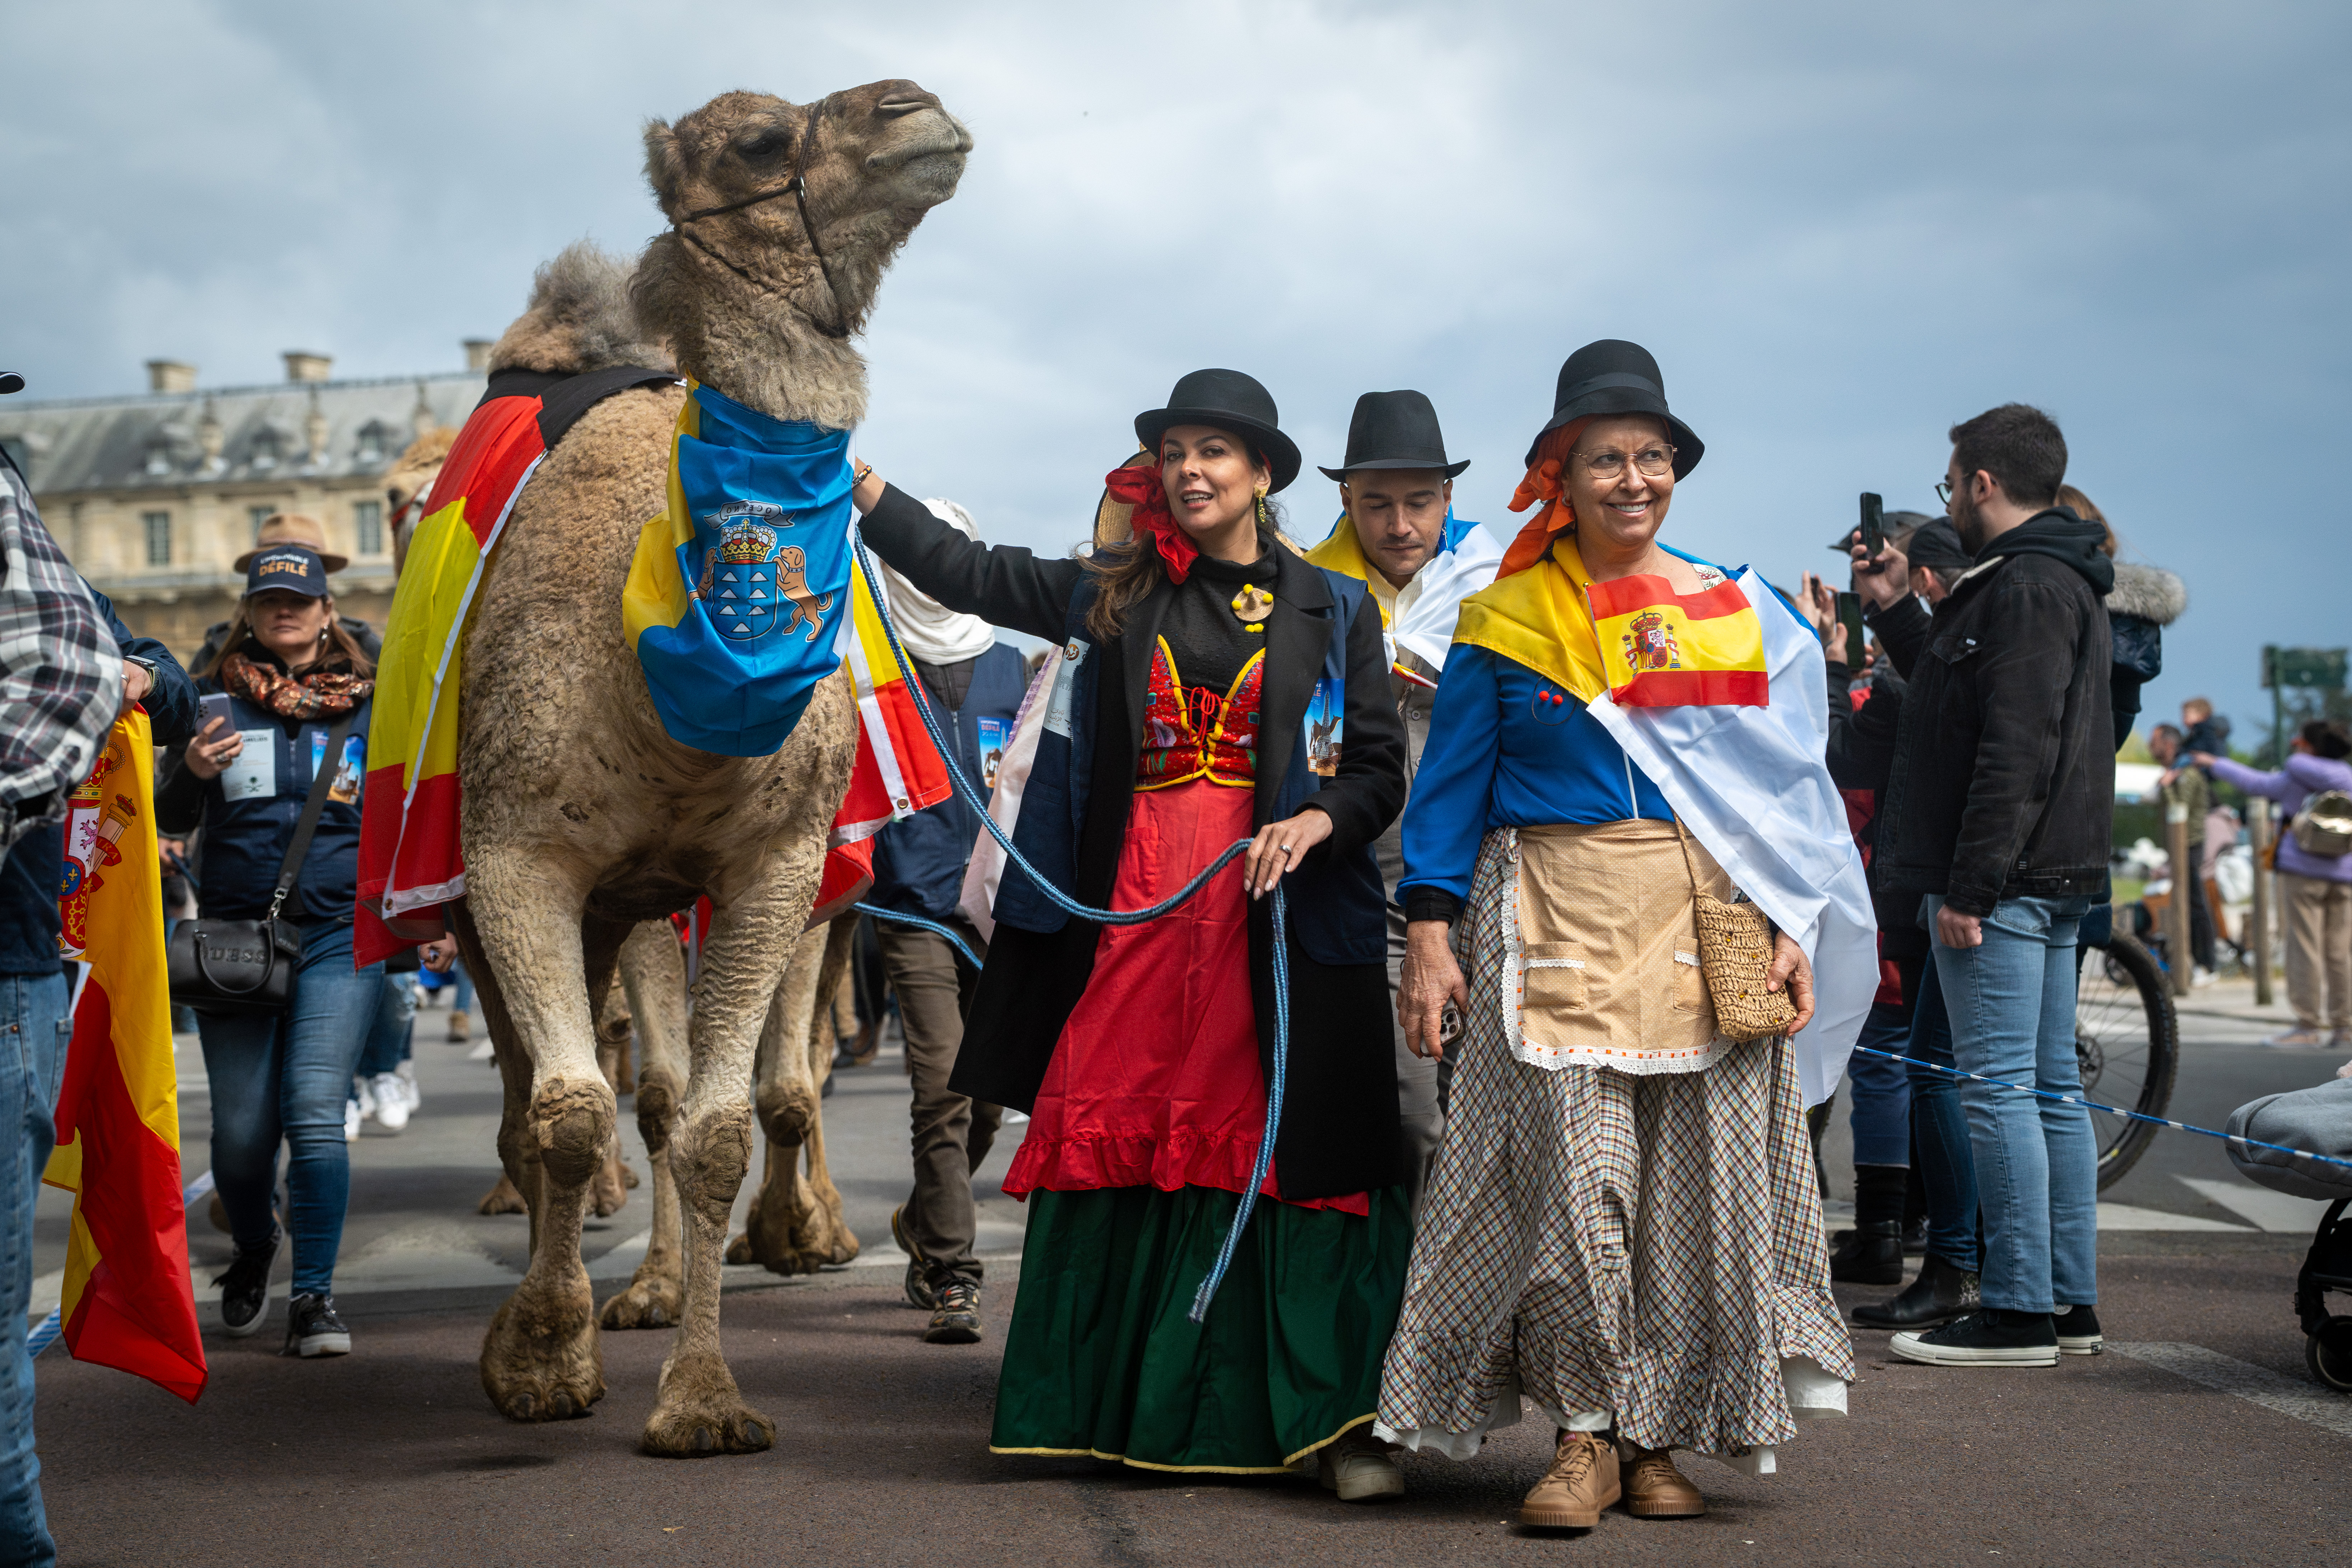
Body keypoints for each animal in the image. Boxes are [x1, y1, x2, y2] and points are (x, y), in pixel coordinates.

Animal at [449, 83, 973, 1457]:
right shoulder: (520, 854)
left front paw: (704, 1397)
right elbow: (581, 1107)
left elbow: (731, 1118)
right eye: (755, 142)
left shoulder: (774, 862)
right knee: (543, 1104)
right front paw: (543, 1357)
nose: (921, 110)